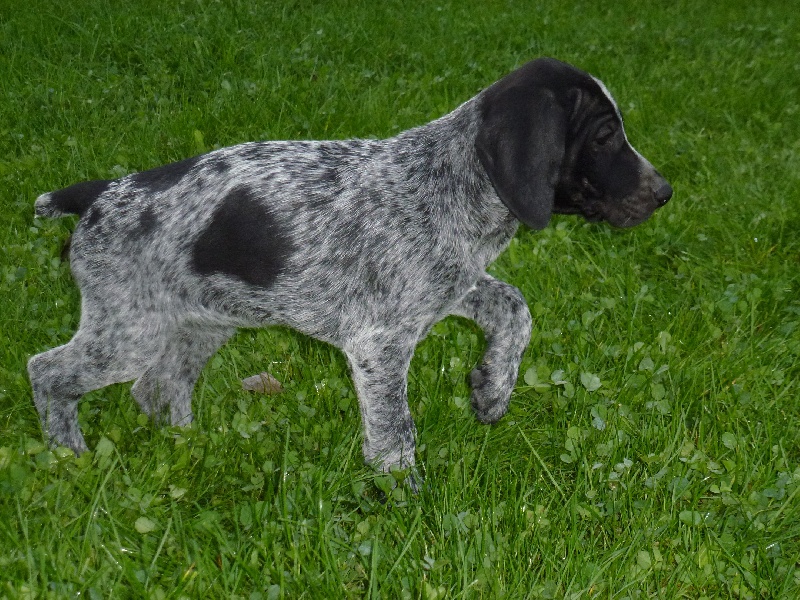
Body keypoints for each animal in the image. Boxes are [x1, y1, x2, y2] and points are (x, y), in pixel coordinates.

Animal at [28, 58, 672, 475]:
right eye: (605, 136)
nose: (664, 192)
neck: (449, 180)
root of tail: (103, 193)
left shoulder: (453, 285)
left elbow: (515, 307)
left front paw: (492, 388)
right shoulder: (380, 343)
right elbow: (394, 434)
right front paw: (406, 503)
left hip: (203, 322)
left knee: (158, 386)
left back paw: (193, 446)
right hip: (129, 330)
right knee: (48, 371)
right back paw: (69, 456)